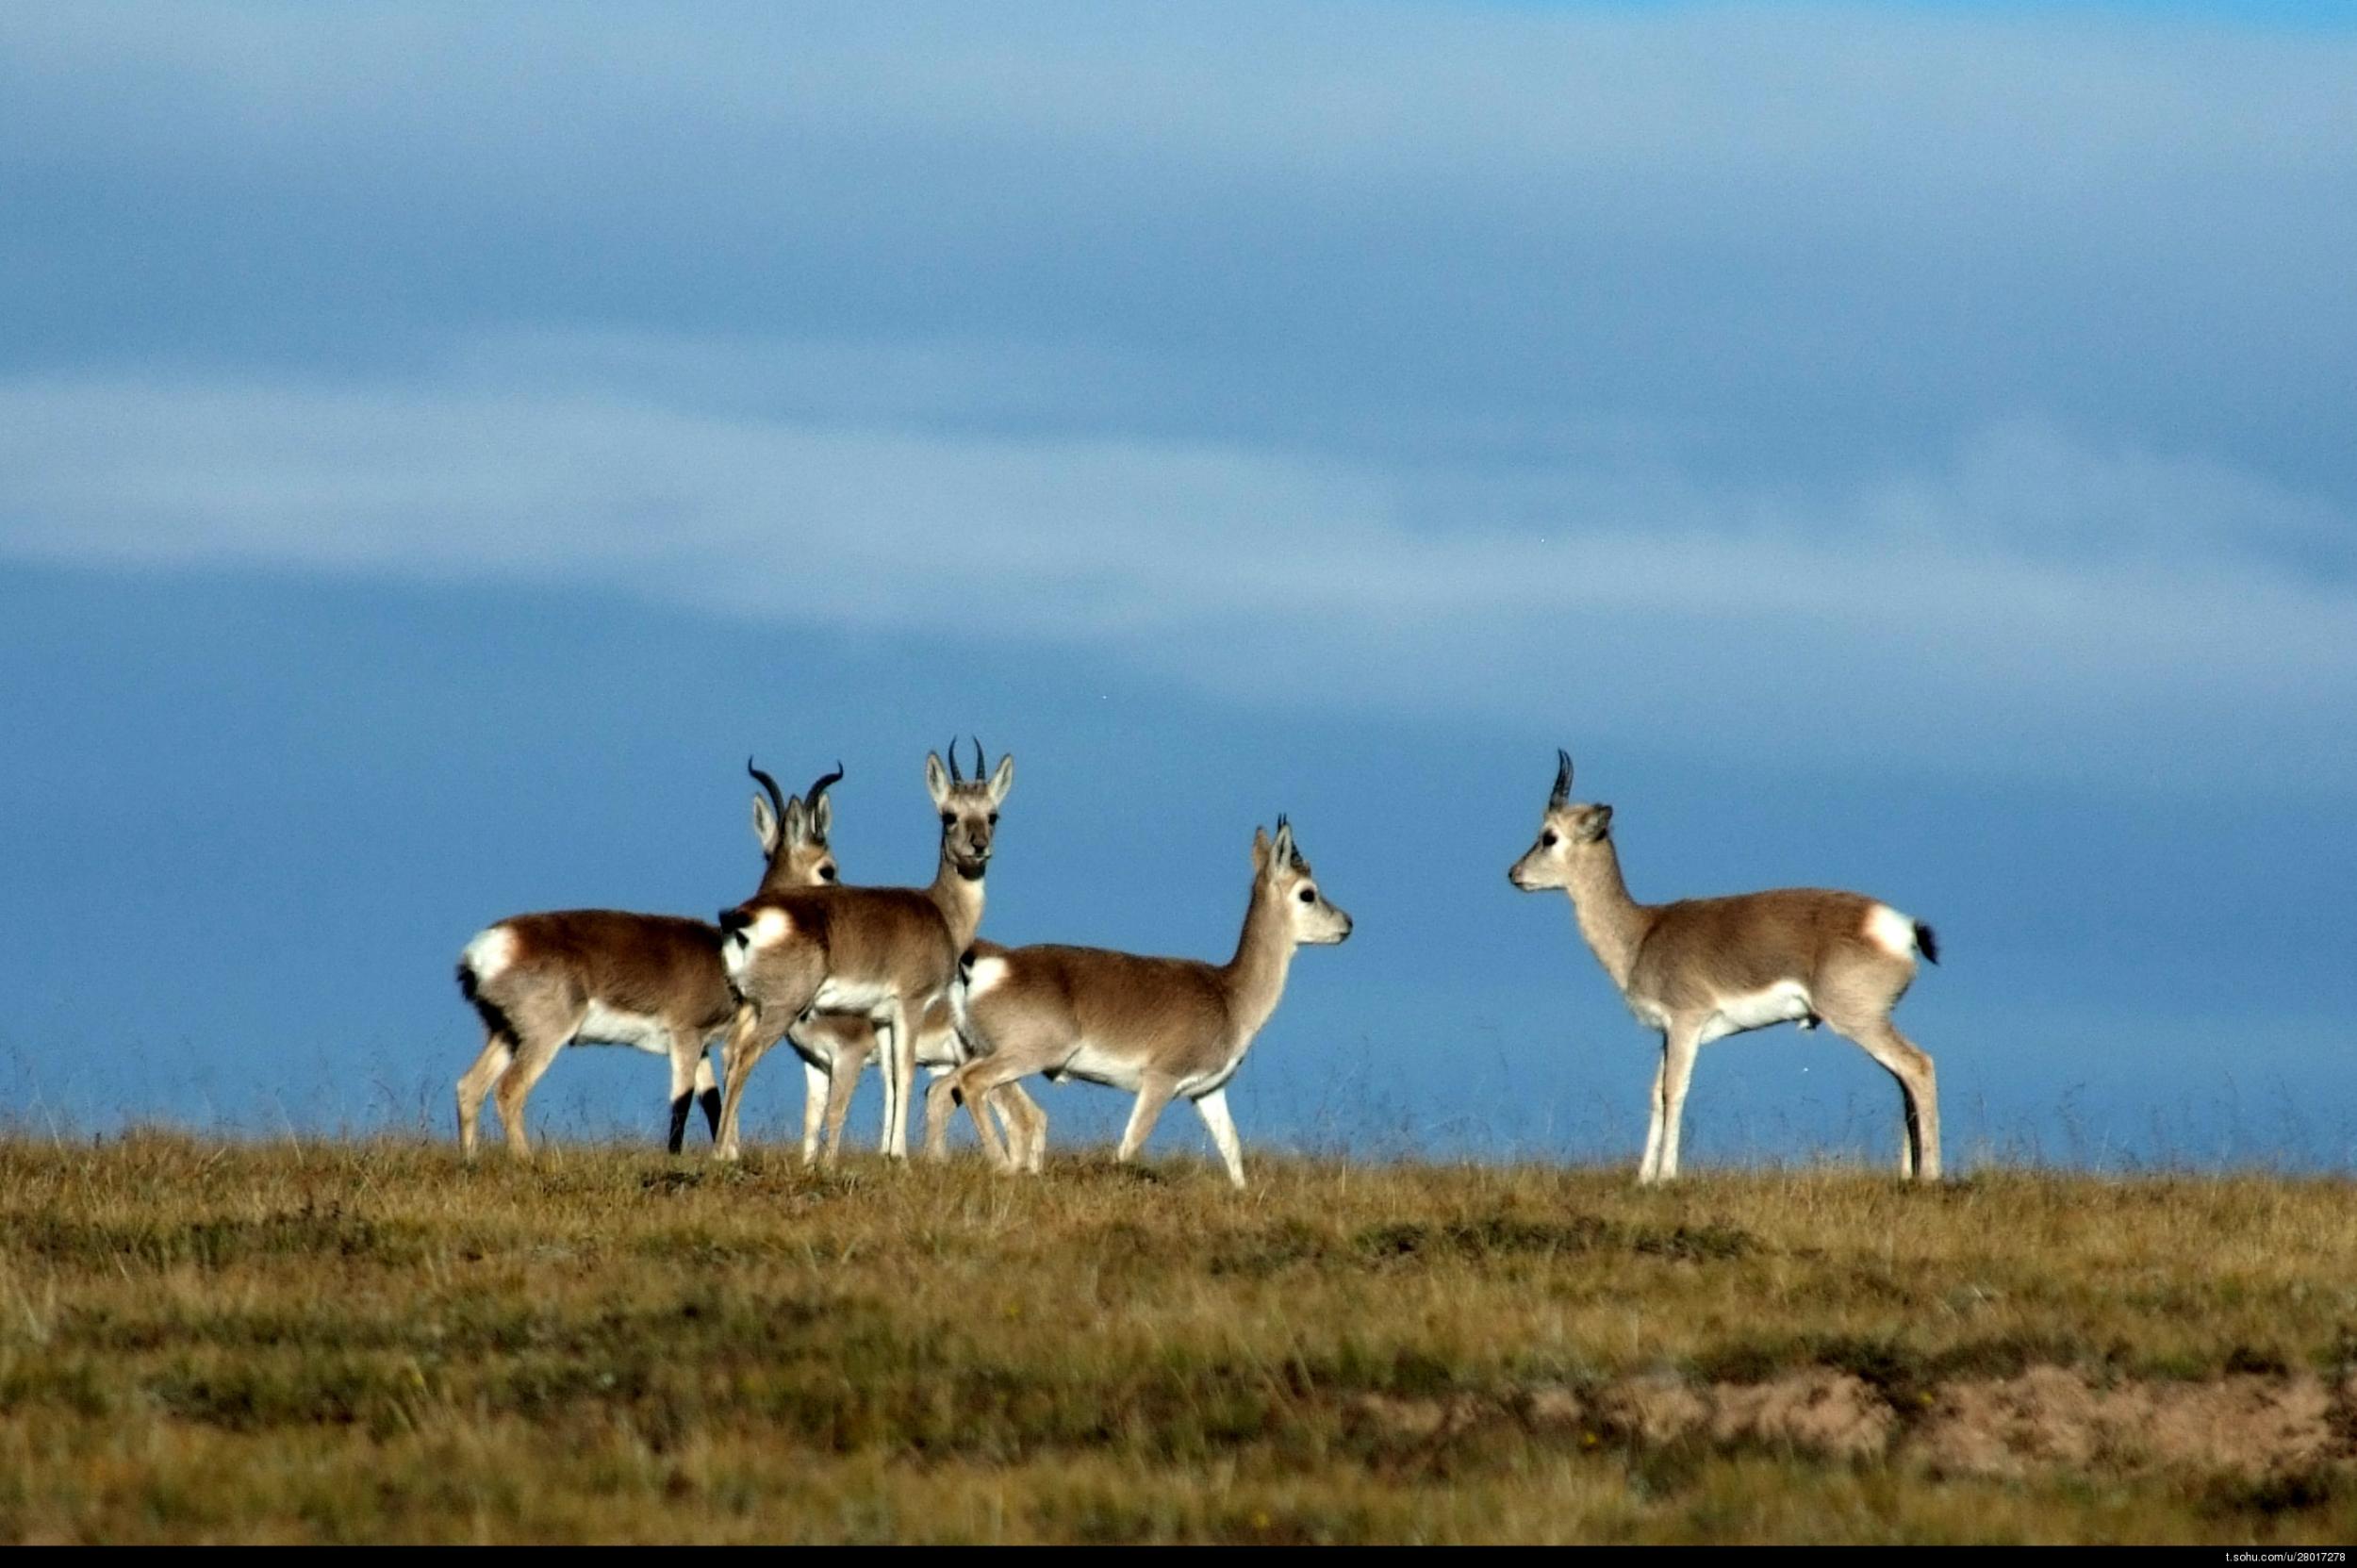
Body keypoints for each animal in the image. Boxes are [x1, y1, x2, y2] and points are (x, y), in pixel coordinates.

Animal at [445, 764, 844, 1155]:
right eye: (828, 869)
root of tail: (486, 947)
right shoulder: (685, 1037)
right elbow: (682, 1104)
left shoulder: (701, 1047)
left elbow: (713, 1104)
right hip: (544, 1037)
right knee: (508, 1091)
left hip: (505, 1034)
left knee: (469, 1088)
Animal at [717, 740, 1014, 1155]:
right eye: (949, 815)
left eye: (992, 815)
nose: (979, 846)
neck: (938, 910)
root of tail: (746, 915)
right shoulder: (909, 1007)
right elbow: (904, 1075)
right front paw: (900, 1156)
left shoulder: (881, 1020)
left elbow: (890, 1080)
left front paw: (886, 1153)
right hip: (779, 1010)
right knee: (743, 1056)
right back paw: (719, 1153)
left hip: (748, 1006)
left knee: (730, 1054)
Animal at [929, 820, 1358, 1188]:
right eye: (1308, 892)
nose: (1348, 924)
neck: (1228, 993)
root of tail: (988, 964)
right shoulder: (1159, 1082)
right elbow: (1129, 1146)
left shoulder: (1208, 1093)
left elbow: (1232, 1149)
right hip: (1023, 1057)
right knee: (972, 1085)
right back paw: (1002, 1164)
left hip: (978, 1054)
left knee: (947, 1089)